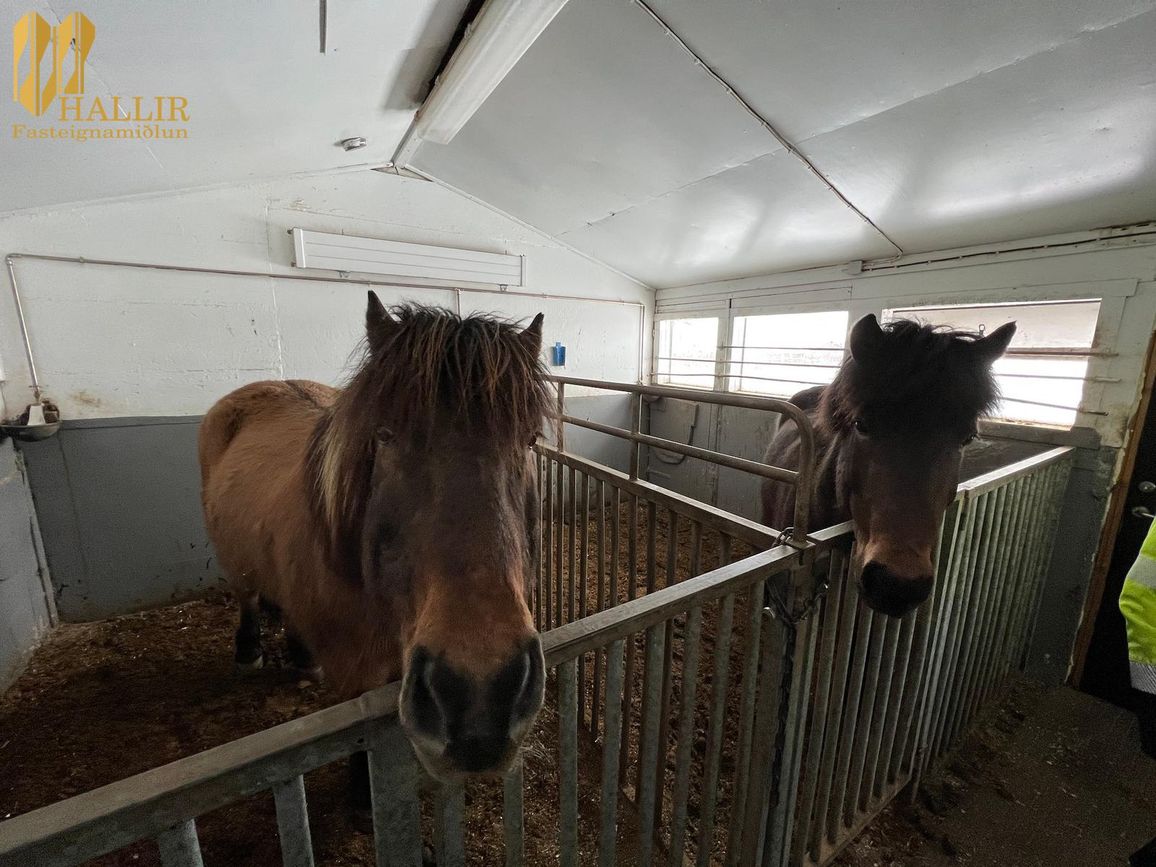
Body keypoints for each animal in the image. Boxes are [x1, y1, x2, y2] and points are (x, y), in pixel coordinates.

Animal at [198, 295, 551, 799]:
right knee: (245, 593)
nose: (480, 699)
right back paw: (248, 652)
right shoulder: (355, 670)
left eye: (530, 439)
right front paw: (364, 796)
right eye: (384, 436)